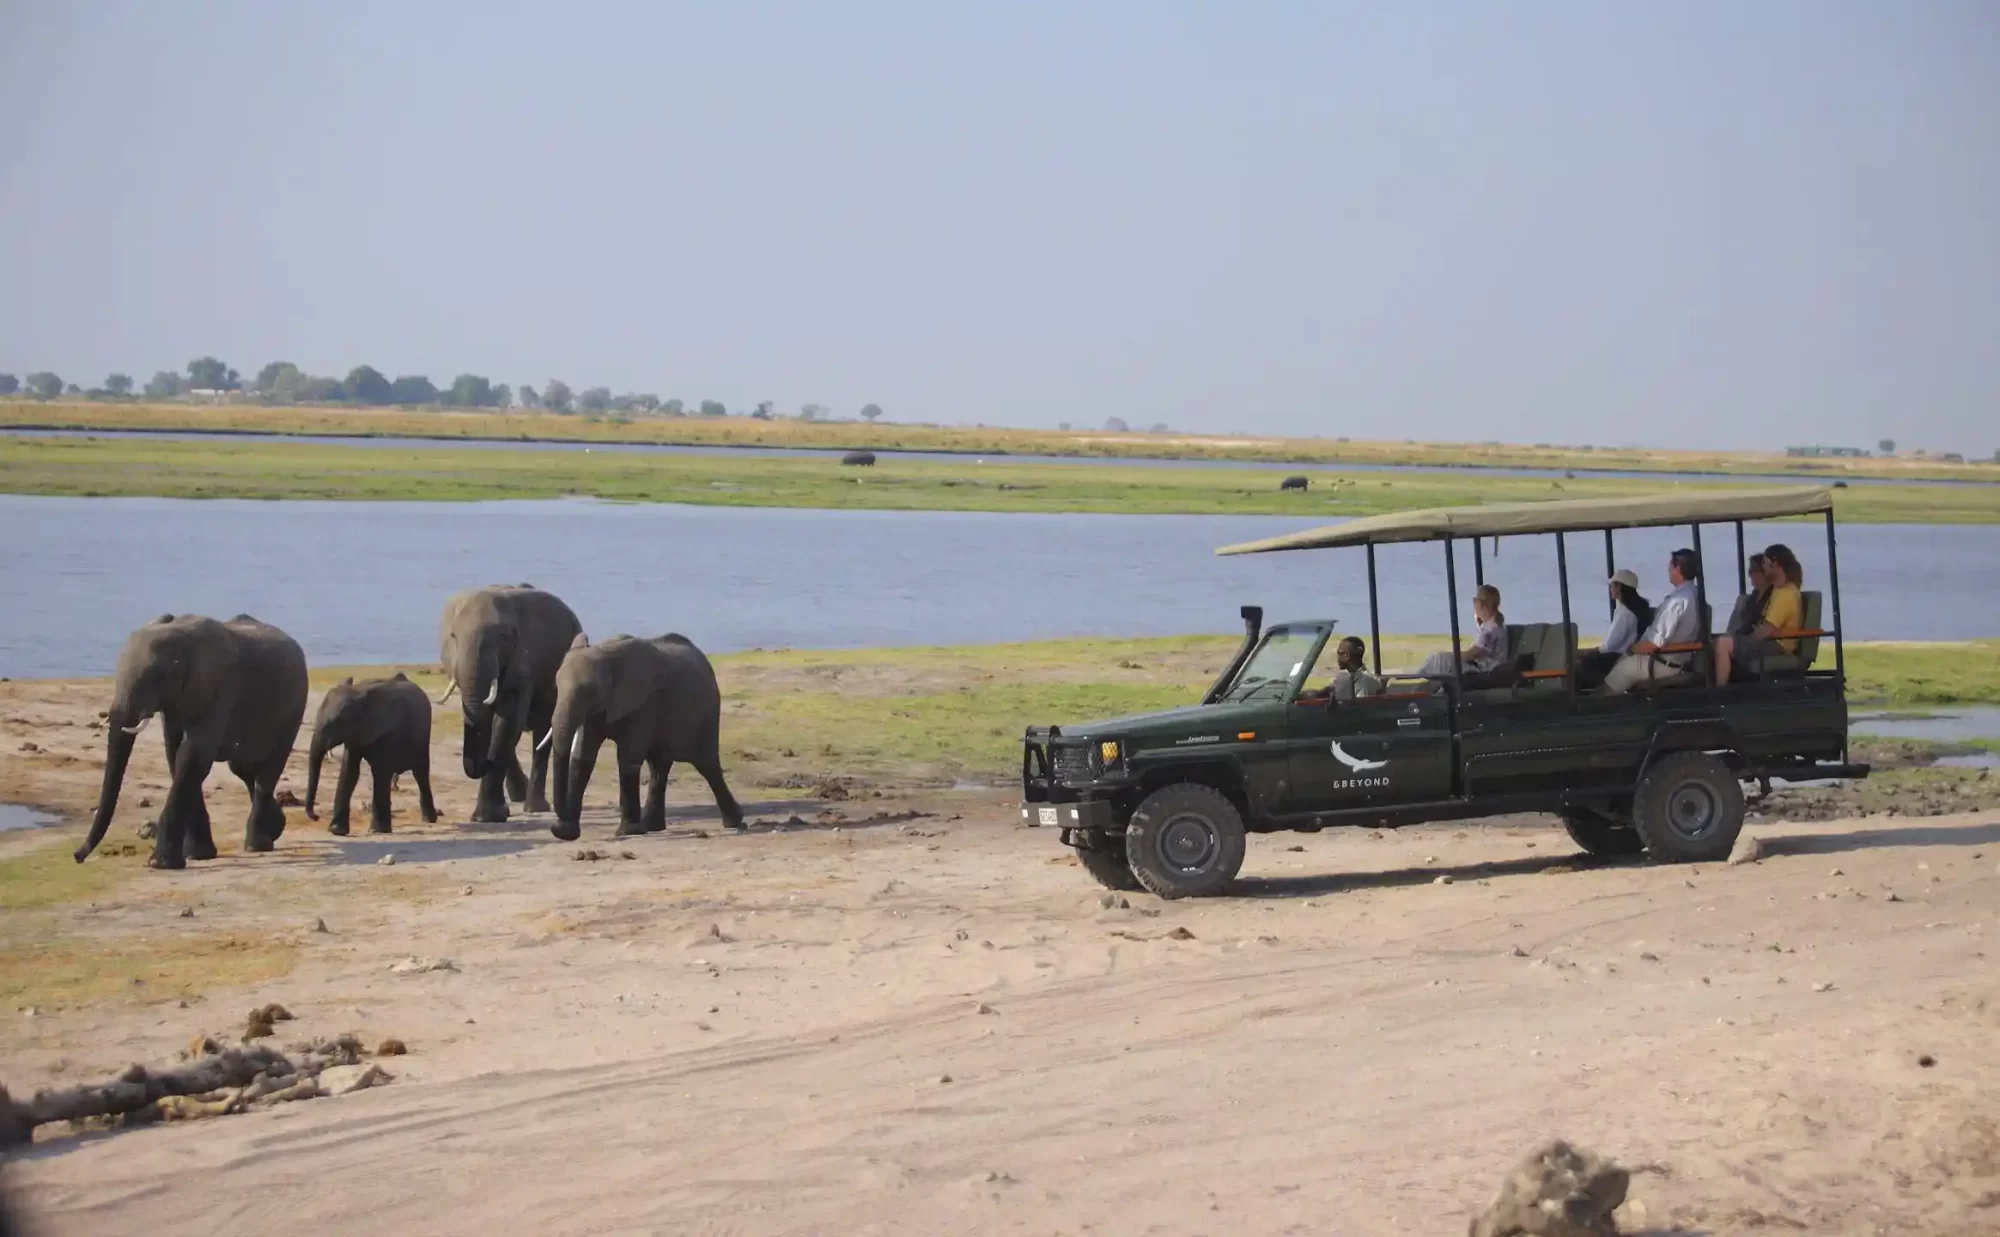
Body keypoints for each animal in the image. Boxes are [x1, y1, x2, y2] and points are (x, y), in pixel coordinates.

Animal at [77, 612, 308, 868]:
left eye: (158, 676)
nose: (77, 857)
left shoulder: (218, 688)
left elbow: (193, 756)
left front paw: (161, 864)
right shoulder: (175, 703)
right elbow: (176, 754)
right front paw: (197, 855)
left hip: (293, 712)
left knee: (267, 771)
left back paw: (257, 845)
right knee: (243, 768)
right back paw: (275, 828)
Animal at [304, 668, 438, 832]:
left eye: (334, 724)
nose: (316, 817)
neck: (358, 693)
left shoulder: (388, 729)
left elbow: (381, 771)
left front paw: (378, 830)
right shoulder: (357, 733)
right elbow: (349, 772)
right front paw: (336, 831)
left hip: (423, 736)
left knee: (420, 773)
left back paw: (429, 820)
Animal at [440, 584, 584, 820]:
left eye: (502, 637)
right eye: (453, 636)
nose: (483, 764)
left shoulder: (523, 662)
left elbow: (507, 723)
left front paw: (487, 818)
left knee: (542, 732)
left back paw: (535, 807)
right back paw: (520, 796)